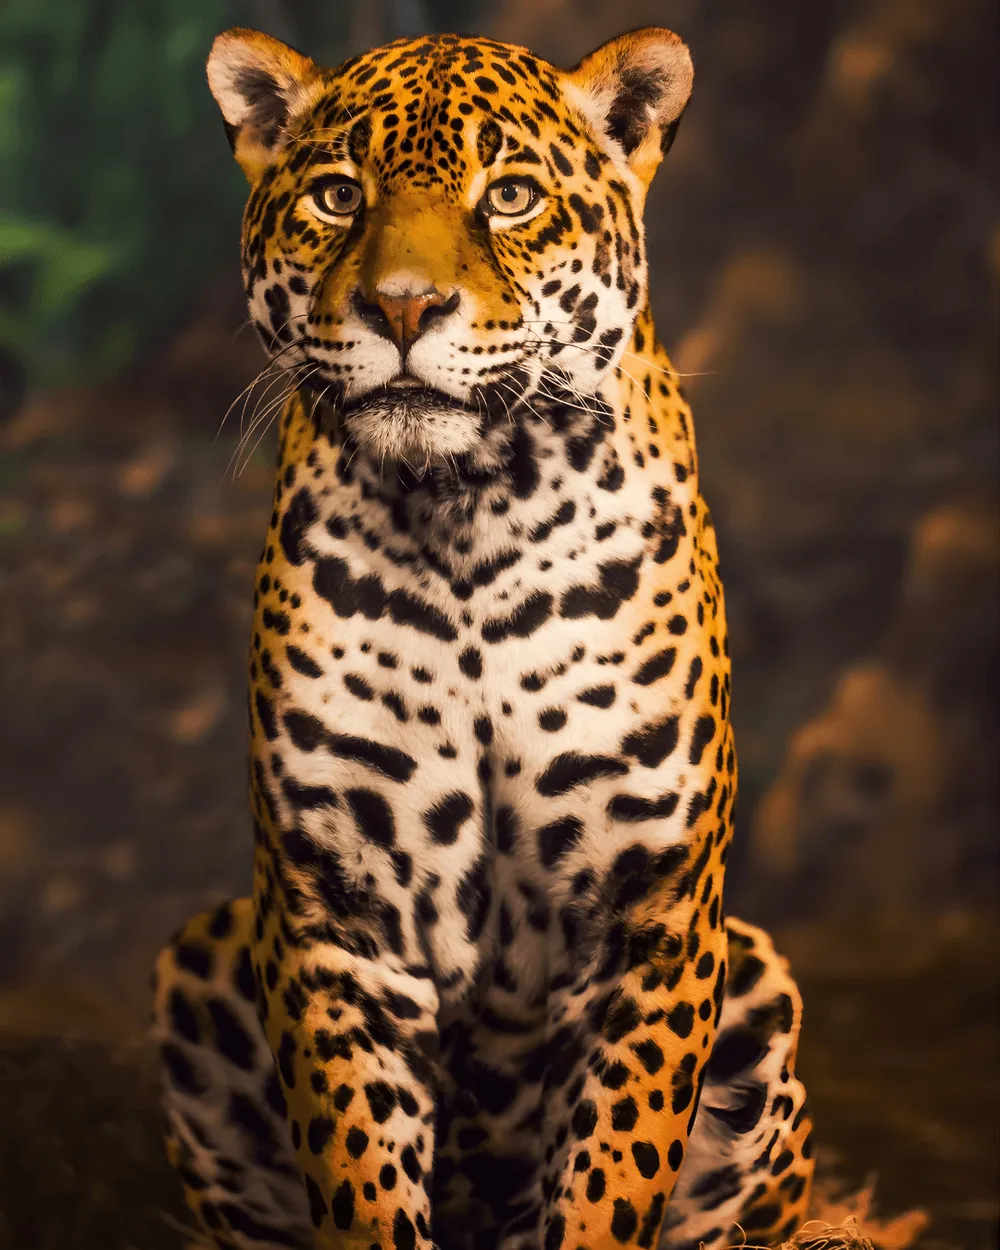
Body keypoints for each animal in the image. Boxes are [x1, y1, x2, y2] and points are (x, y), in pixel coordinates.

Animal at [150, 25, 815, 1250]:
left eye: (509, 197)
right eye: (336, 195)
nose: (405, 309)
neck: (469, 515)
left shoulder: (650, 915)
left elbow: (612, 1178)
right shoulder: (333, 914)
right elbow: (359, 1176)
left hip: (755, 977)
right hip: (205, 956)